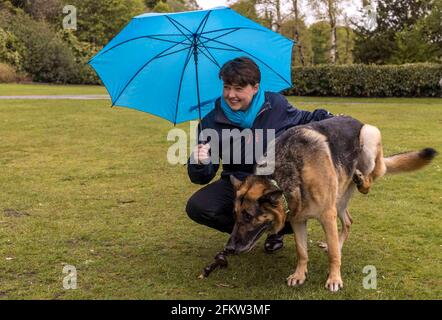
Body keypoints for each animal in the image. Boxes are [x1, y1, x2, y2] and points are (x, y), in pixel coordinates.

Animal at [214, 115, 436, 292]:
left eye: (249, 216)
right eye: (235, 215)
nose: (229, 248)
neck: (288, 170)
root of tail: (358, 121)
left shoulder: (327, 216)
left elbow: (334, 257)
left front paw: (334, 279)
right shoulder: (298, 220)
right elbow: (302, 251)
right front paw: (299, 275)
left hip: (369, 139)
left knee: (375, 175)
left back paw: (362, 181)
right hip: (338, 200)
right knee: (348, 222)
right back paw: (335, 240)